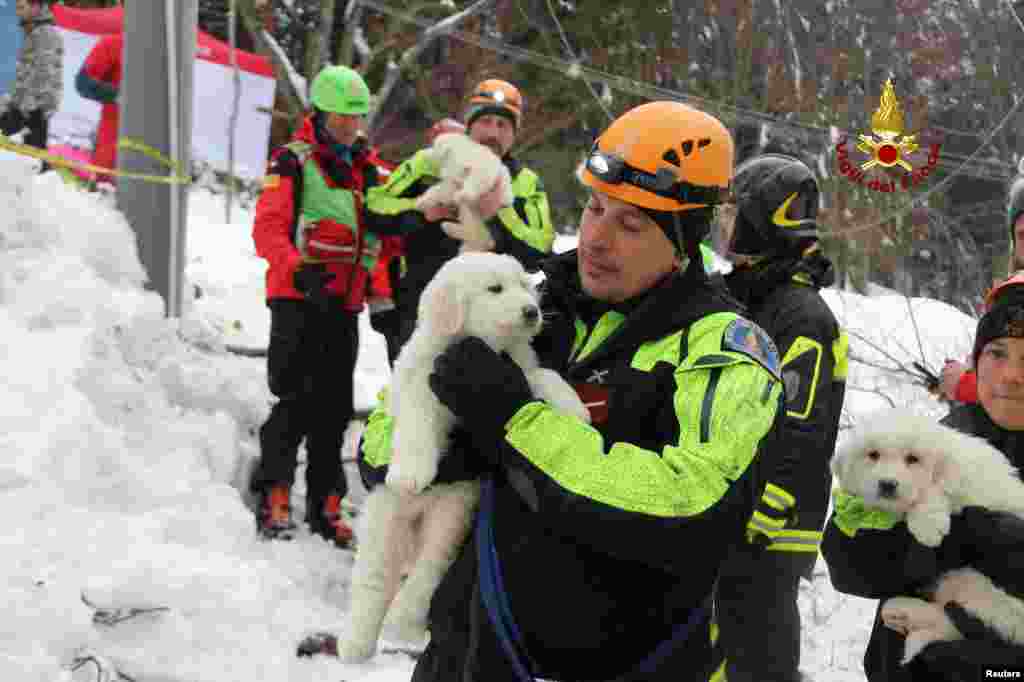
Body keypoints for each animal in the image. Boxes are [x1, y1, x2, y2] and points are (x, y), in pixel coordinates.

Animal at [335, 249, 589, 659]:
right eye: (495, 289)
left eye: (524, 284)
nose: (532, 311)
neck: (483, 345)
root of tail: (417, 520)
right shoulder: (422, 385)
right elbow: (419, 424)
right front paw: (411, 473)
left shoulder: (517, 369)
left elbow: (543, 377)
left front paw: (575, 408)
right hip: (384, 520)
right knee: (373, 580)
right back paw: (356, 643)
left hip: (452, 515)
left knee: (427, 572)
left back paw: (404, 624)